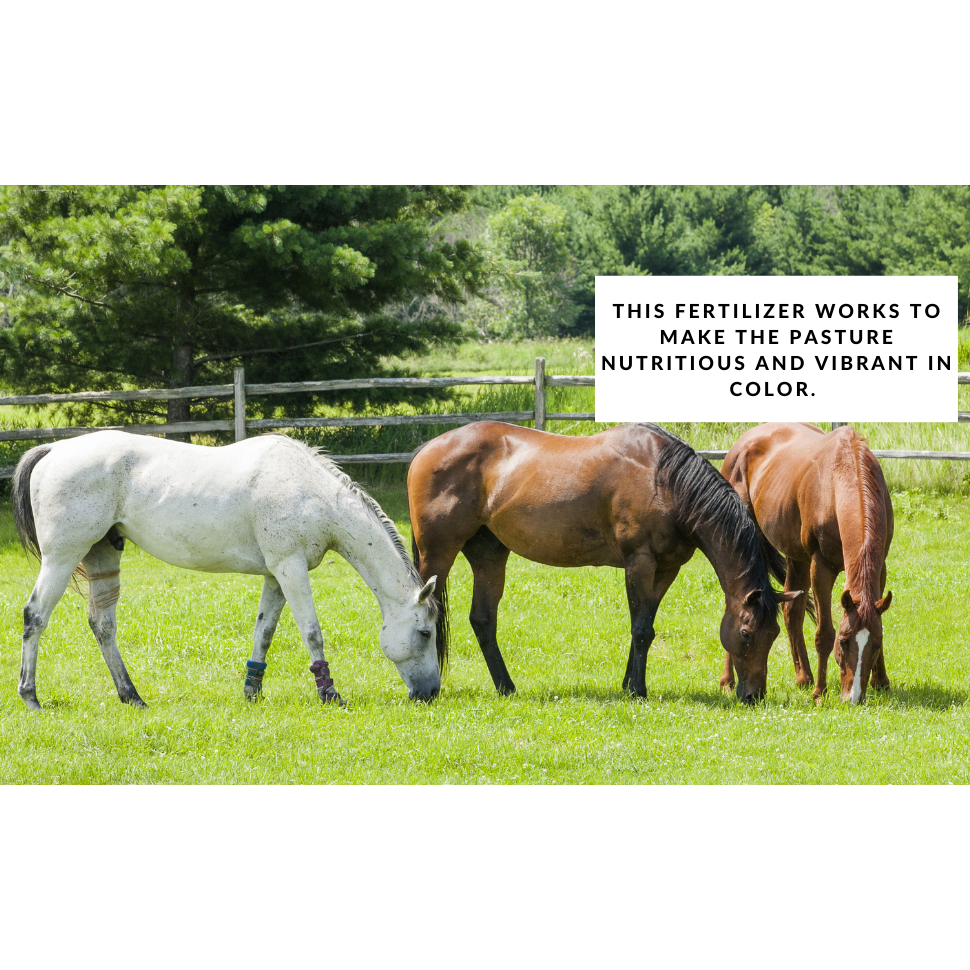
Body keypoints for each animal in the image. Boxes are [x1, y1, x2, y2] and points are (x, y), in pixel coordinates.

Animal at [11, 430, 440, 711]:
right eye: (425, 632)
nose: (431, 693)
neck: (314, 495)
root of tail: (54, 449)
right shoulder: (291, 569)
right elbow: (312, 632)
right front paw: (329, 694)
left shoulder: (276, 575)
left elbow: (264, 632)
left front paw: (252, 691)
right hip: (63, 557)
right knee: (35, 616)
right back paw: (31, 697)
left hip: (102, 554)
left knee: (102, 625)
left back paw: (131, 696)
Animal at [407, 421, 802, 703]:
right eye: (747, 633)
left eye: (774, 633)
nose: (753, 696)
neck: (665, 481)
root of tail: (426, 450)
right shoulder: (640, 562)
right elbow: (641, 629)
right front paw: (638, 690)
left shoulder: (666, 569)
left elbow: (645, 626)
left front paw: (629, 683)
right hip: (438, 554)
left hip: (488, 555)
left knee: (483, 620)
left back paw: (506, 687)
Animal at [719, 422, 894, 704]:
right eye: (844, 641)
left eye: (875, 643)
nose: (853, 698)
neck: (841, 478)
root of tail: (743, 441)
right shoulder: (820, 567)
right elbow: (824, 634)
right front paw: (820, 693)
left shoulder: (880, 569)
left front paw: (881, 682)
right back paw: (728, 681)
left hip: (796, 558)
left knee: (792, 611)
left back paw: (804, 677)